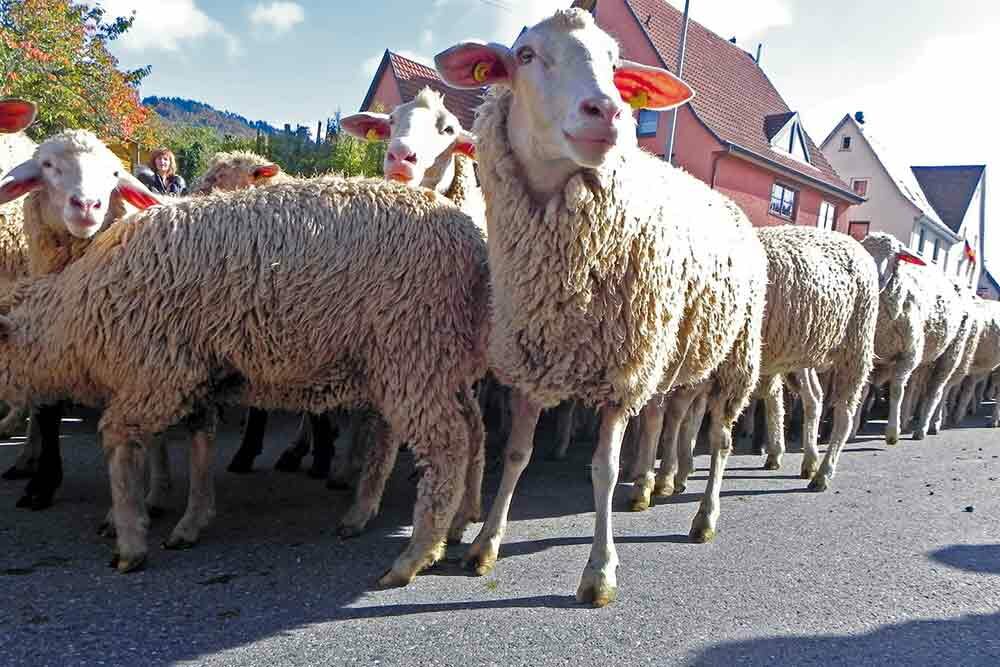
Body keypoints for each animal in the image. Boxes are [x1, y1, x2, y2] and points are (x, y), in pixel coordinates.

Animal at [436, 9, 764, 604]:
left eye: (615, 63)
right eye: (525, 55)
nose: (608, 111)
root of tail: (729, 203)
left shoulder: (621, 373)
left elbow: (604, 470)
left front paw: (600, 571)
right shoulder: (532, 361)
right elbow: (516, 455)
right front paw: (485, 544)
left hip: (737, 354)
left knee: (721, 438)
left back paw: (703, 516)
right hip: (681, 355)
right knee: (669, 416)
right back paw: (657, 482)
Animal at [864, 232, 964, 446]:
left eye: (894, 255)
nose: (875, 276)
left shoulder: (907, 354)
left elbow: (896, 390)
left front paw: (892, 433)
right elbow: (865, 389)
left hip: (949, 354)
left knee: (935, 391)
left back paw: (923, 428)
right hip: (923, 359)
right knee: (914, 388)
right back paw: (907, 421)